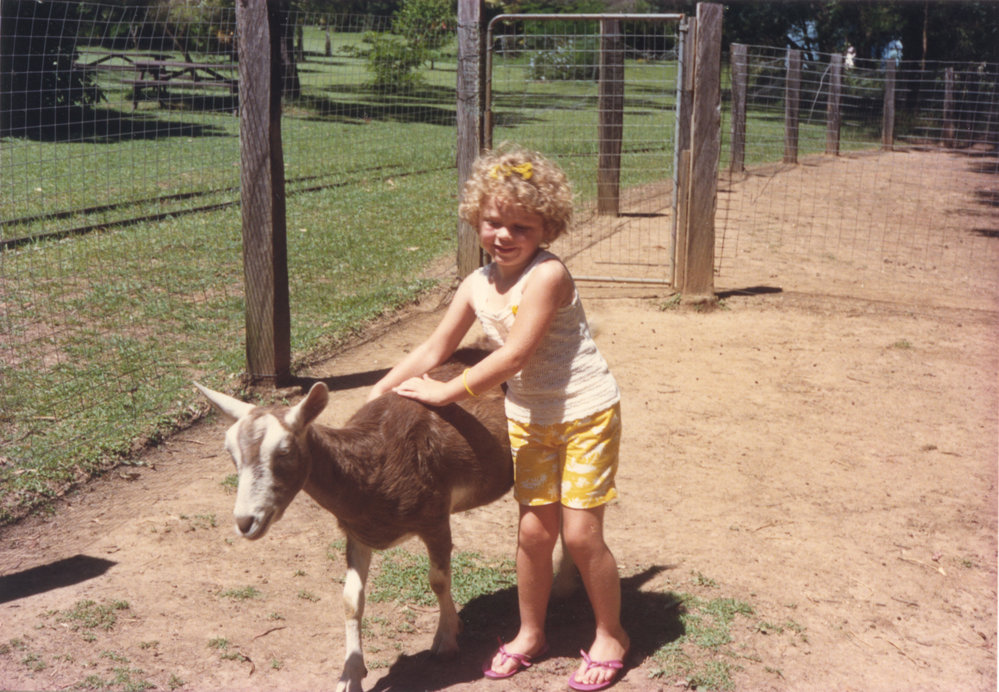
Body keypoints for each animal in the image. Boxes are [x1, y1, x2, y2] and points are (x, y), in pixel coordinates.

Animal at [195, 349, 514, 692]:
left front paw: (446, 640)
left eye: (284, 451)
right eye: (231, 453)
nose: (245, 521)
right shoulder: (357, 531)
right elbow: (350, 598)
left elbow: (438, 579)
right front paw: (350, 675)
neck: (374, 463)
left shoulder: (436, 517)